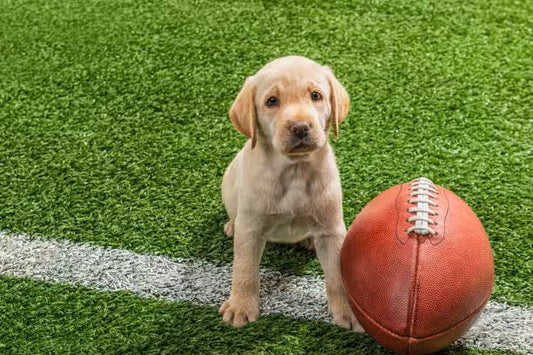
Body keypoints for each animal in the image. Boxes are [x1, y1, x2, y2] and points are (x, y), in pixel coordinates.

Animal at [219, 55, 362, 330]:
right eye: (271, 101)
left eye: (316, 95)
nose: (300, 127)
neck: (294, 170)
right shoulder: (250, 228)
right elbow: (244, 269)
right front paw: (241, 306)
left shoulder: (331, 230)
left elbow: (337, 275)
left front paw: (348, 311)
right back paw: (231, 225)